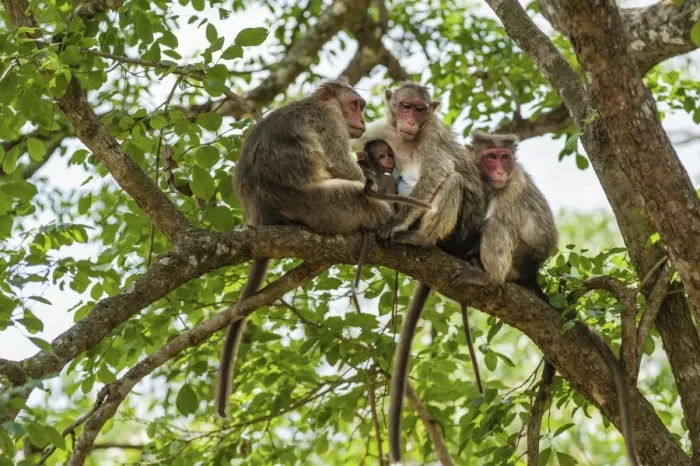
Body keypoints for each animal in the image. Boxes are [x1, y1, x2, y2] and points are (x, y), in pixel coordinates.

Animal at [215, 80, 395, 419]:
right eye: (356, 105)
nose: (363, 119)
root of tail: (263, 215)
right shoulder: (329, 123)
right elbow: (347, 169)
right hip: (321, 205)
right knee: (358, 195)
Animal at [450, 131, 639, 466]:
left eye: (504, 157)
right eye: (491, 157)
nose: (500, 170)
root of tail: (531, 272)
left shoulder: (513, 187)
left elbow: (498, 219)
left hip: (519, 258)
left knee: (496, 225)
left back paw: (489, 276)